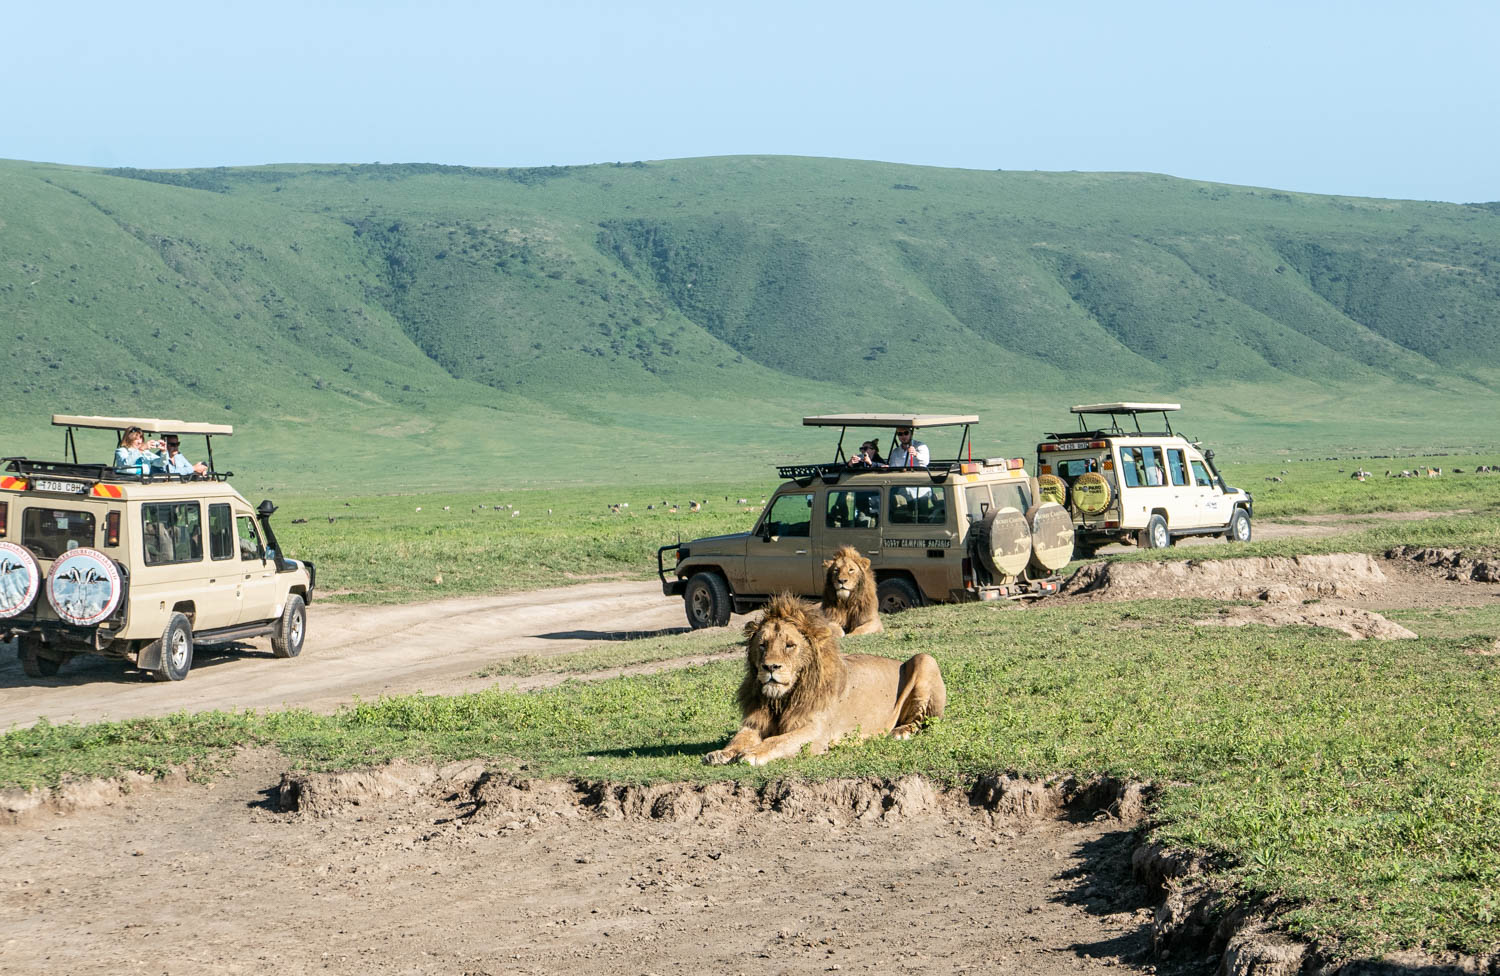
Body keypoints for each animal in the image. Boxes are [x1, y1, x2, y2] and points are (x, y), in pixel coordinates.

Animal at [705, 590, 948, 767]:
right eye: (763, 645)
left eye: (789, 645)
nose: (770, 667)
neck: (782, 700)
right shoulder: (755, 722)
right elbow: (740, 738)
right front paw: (721, 753)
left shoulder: (816, 732)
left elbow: (778, 740)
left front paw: (752, 753)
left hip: (925, 659)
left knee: (921, 721)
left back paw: (899, 732)